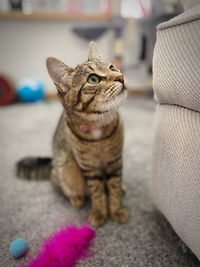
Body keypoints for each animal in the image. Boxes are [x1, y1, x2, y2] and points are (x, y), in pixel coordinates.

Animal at [17, 42, 130, 228]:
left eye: (112, 67)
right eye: (93, 79)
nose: (121, 76)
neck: (99, 128)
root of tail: (52, 165)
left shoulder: (115, 162)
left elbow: (113, 187)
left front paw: (116, 210)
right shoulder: (89, 168)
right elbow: (97, 193)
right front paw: (100, 213)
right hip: (65, 170)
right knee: (64, 188)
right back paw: (76, 198)